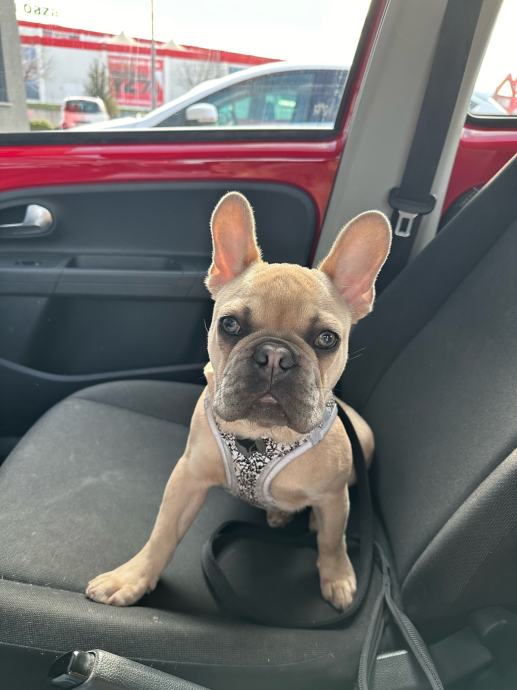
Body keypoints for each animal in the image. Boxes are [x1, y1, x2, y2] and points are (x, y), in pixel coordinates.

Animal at [85, 192, 391, 610]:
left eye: (327, 339)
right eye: (229, 325)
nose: (275, 356)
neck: (260, 435)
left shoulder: (332, 496)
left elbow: (333, 540)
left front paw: (339, 577)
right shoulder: (188, 477)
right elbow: (163, 531)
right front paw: (132, 576)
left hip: (365, 442)